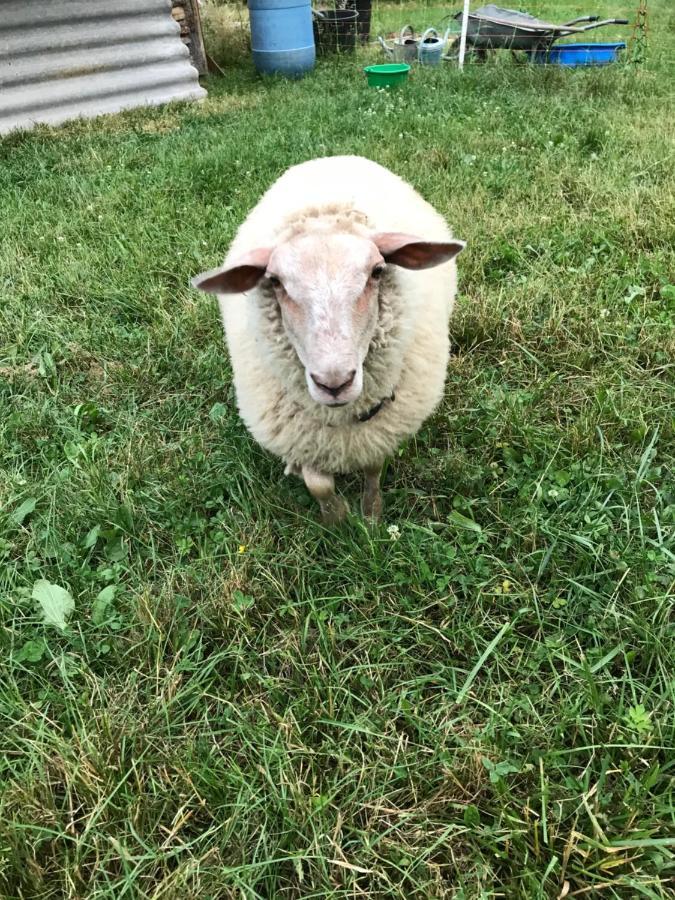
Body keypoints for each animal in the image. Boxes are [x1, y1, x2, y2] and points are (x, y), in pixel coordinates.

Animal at [193, 155, 462, 520]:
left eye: (377, 271)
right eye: (275, 281)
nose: (334, 383)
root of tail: (329, 157)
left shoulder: (377, 430)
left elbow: (373, 469)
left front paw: (371, 514)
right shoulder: (304, 437)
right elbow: (318, 484)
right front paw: (337, 520)